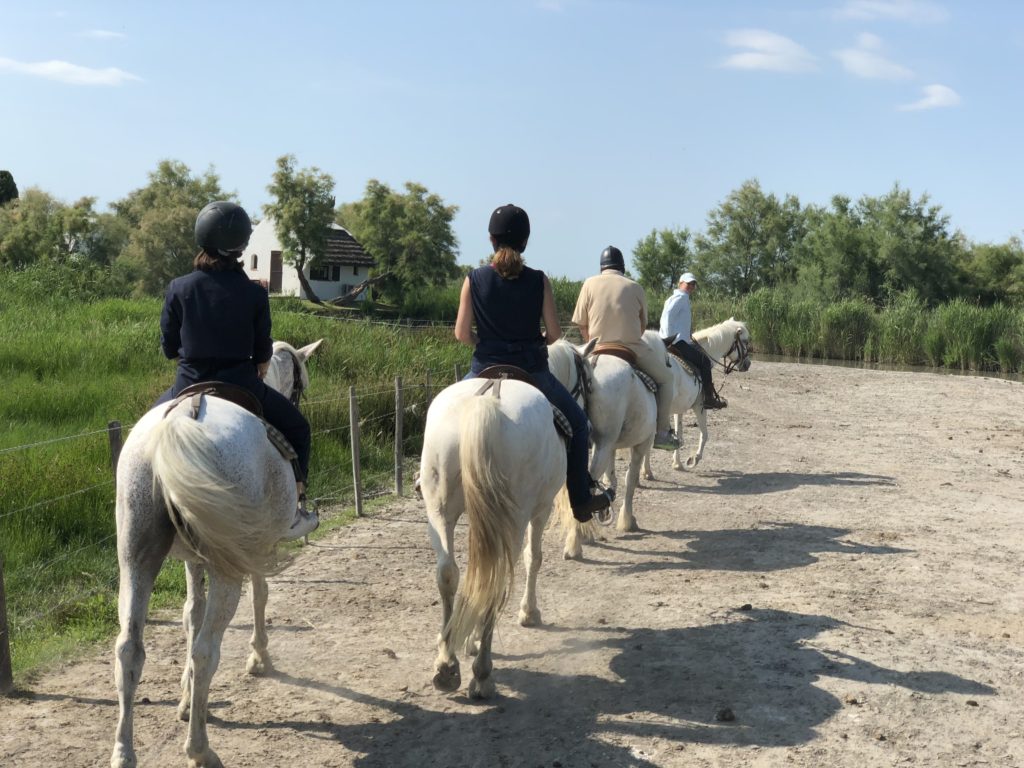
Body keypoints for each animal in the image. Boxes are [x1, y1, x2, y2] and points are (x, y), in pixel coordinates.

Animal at [111, 339, 319, 768]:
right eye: (299, 385)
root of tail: (182, 418)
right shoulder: (254, 551)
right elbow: (260, 596)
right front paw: (259, 658)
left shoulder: (195, 559)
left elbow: (191, 615)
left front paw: (186, 700)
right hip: (226, 567)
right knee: (206, 650)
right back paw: (200, 749)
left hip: (136, 561)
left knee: (129, 649)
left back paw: (123, 753)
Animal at [421, 376, 569, 700]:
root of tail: (485, 402)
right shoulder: (541, 510)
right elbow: (534, 558)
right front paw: (529, 612)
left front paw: (469, 639)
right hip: (513, 520)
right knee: (498, 580)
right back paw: (482, 676)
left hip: (439, 511)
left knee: (448, 574)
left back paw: (446, 666)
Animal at [552, 339, 655, 544]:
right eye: (588, 382)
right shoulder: (641, 443)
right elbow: (630, 479)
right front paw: (627, 520)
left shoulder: (611, 448)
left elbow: (612, 477)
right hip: (605, 446)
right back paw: (578, 537)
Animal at [638, 317, 753, 475]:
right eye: (745, 341)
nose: (747, 364)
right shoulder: (699, 406)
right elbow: (704, 434)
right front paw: (694, 459)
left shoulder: (679, 409)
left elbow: (679, 434)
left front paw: (677, 463)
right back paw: (647, 471)